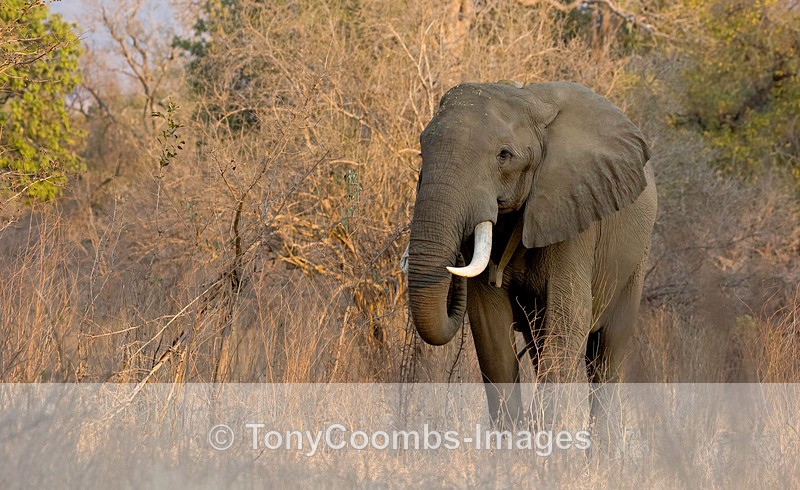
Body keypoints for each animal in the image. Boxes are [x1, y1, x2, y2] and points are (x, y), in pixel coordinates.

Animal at [405, 81, 657, 430]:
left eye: (504, 155)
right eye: (422, 151)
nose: (453, 262)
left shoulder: (574, 208)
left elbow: (568, 317)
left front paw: (546, 442)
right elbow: (490, 329)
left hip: (636, 260)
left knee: (607, 355)